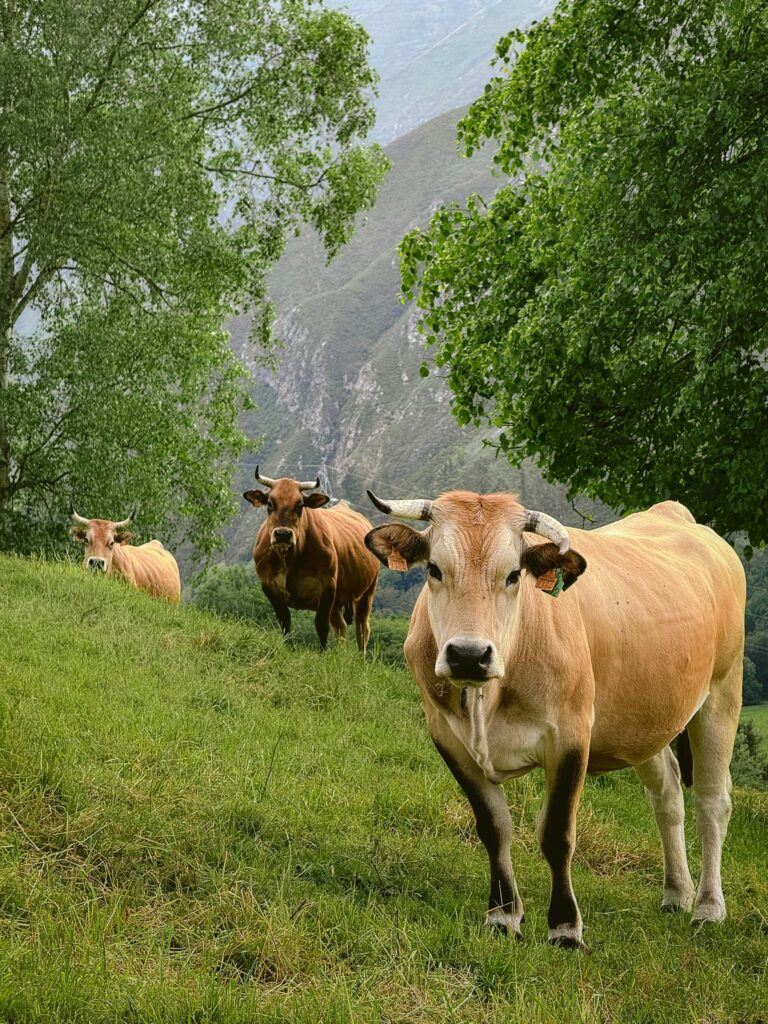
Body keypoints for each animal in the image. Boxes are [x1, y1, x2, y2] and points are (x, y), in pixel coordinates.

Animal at [243, 468, 379, 652]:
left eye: (300, 505)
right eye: (270, 504)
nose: (283, 534)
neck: (290, 560)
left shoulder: (328, 585)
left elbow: (321, 624)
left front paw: (322, 653)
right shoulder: (268, 585)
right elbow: (284, 621)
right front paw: (289, 648)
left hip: (368, 591)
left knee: (362, 628)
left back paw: (360, 655)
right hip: (339, 600)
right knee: (341, 627)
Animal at [364, 490, 744, 948]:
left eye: (514, 575)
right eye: (434, 569)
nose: (469, 655)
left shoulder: (571, 735)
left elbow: (557, 834)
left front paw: (565, 927)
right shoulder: (448, 739)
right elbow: (493, 827)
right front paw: (503, 915)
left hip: (722, 693)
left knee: (712, 800)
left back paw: (708, 907)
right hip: (643, 719)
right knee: (668, 794)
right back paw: (676, 893)